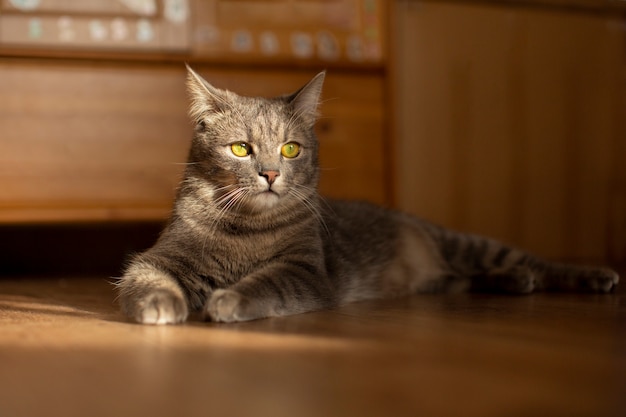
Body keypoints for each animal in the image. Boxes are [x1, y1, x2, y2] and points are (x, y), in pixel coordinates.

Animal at [116, 66, 616, 324]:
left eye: (290, 148)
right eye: (241, 148)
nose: (271, 174)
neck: (247, 229)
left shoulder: (304, 271)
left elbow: (264, 283)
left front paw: (229, 300)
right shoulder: (161, 258)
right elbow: (149, 278)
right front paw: (162, 303)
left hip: (467, 243)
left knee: (530, 262)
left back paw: (589, 277)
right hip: (446, 273)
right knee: (467, 278)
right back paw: (513, 281)